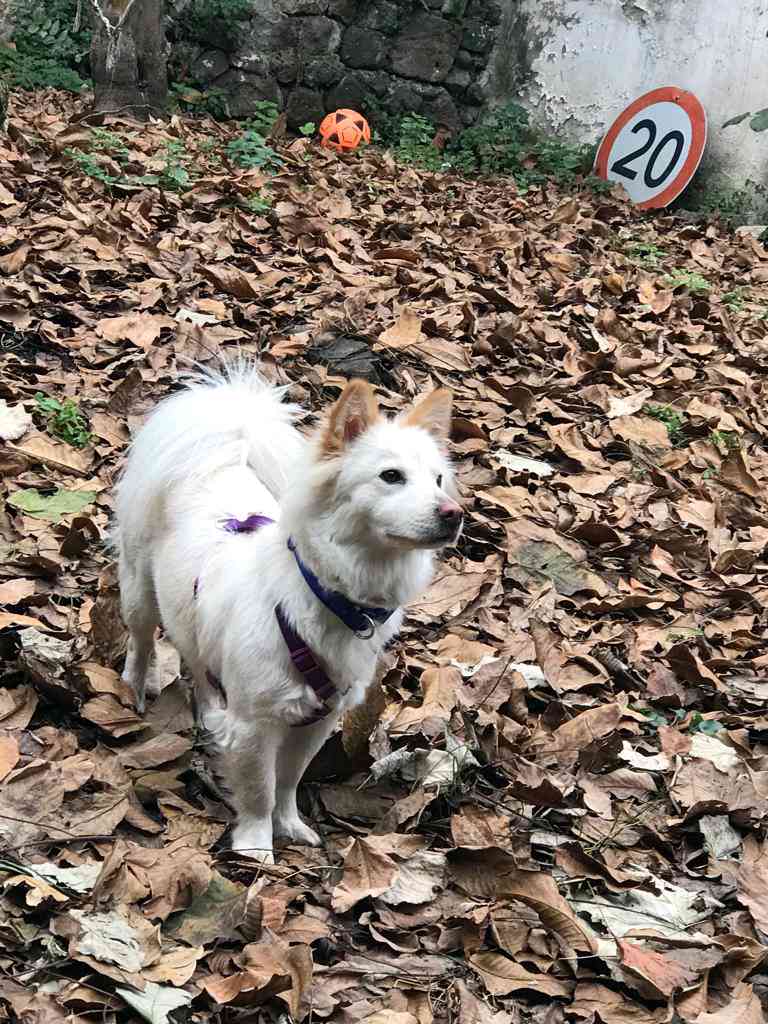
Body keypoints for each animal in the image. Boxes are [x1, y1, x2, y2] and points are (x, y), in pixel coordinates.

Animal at [113, 364, 462, 862]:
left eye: (437, 480)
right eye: (391, 476)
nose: (454, 513)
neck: (331, 598)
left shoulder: (318, 721)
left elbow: (289, 779)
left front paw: (290, 824)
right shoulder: (256, 725)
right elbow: (260, 787)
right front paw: (257, 847)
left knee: (198, 664)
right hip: (140, 591)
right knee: (141, 641)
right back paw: (136, 688)